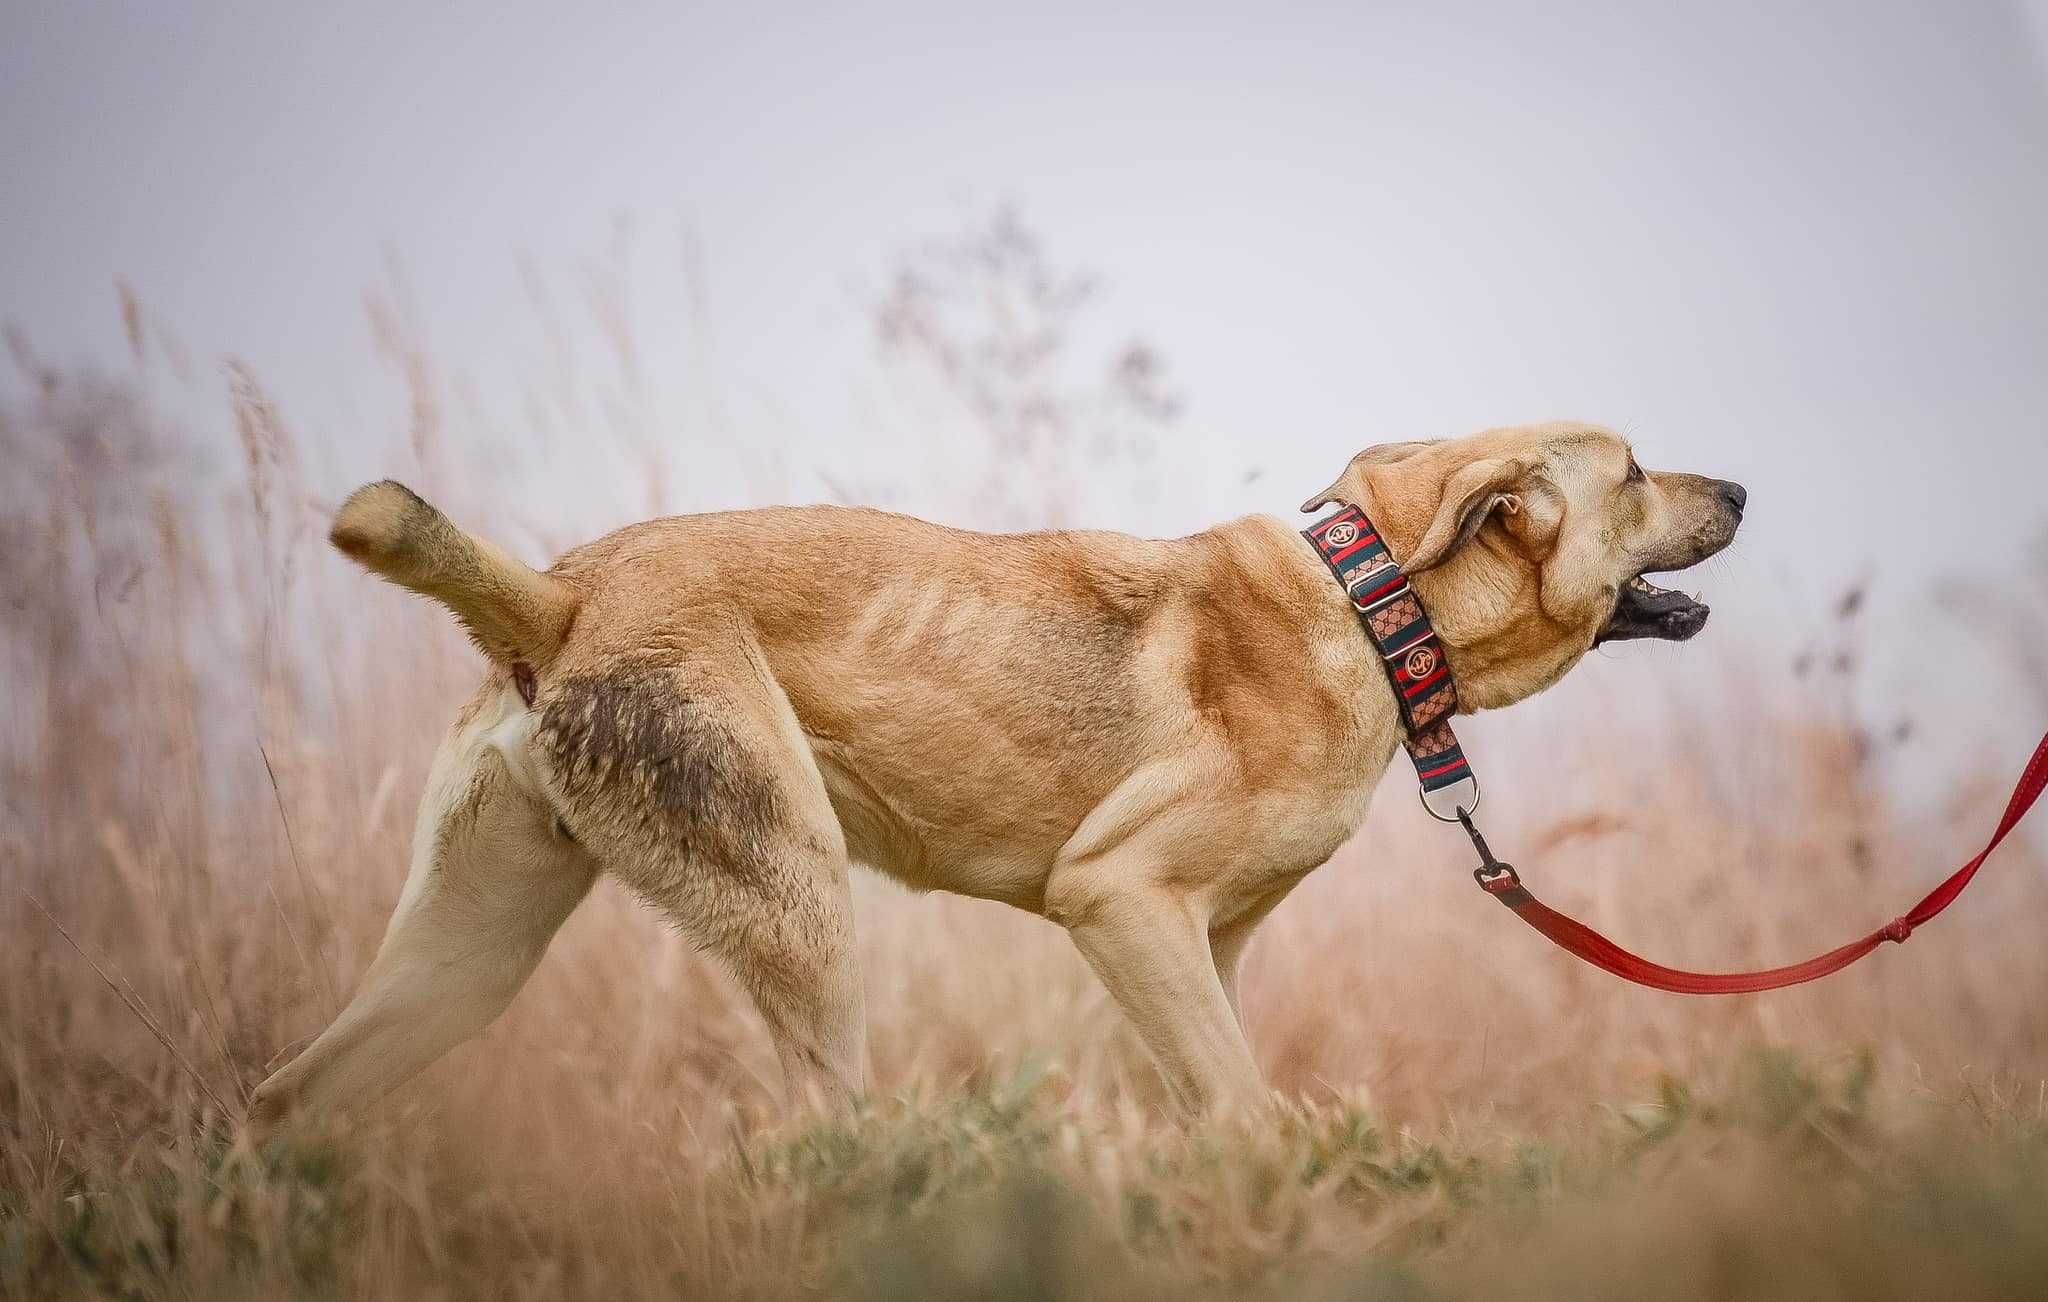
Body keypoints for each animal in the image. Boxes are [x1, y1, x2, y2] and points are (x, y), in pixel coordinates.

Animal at [243, 421, 1744, 1121]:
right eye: (1632, 470)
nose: (1738, 489)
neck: (1372, 607)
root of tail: (562, 601)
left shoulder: (1204, 946)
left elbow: (1216, 1098)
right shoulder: (1116, 896)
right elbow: (1247, 1105)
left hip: (468, 952)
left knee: (283, 1095)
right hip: (801, 911)